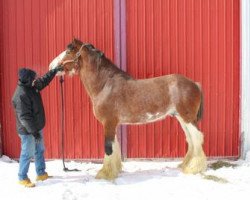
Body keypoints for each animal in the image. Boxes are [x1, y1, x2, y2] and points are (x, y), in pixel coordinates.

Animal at [49, 38, 207, 180]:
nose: (51, 66)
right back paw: (186, 165)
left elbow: (108, 147)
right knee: (191, 140)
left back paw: (194, 168)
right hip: (181, 118)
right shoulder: (112, 124)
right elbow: (115, 146)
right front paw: (115, 170)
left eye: (68, 51)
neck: (105, 86)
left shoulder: (108, 123)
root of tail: (195, 84)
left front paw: (105, 174)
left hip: (187, 118)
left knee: (197, 138)